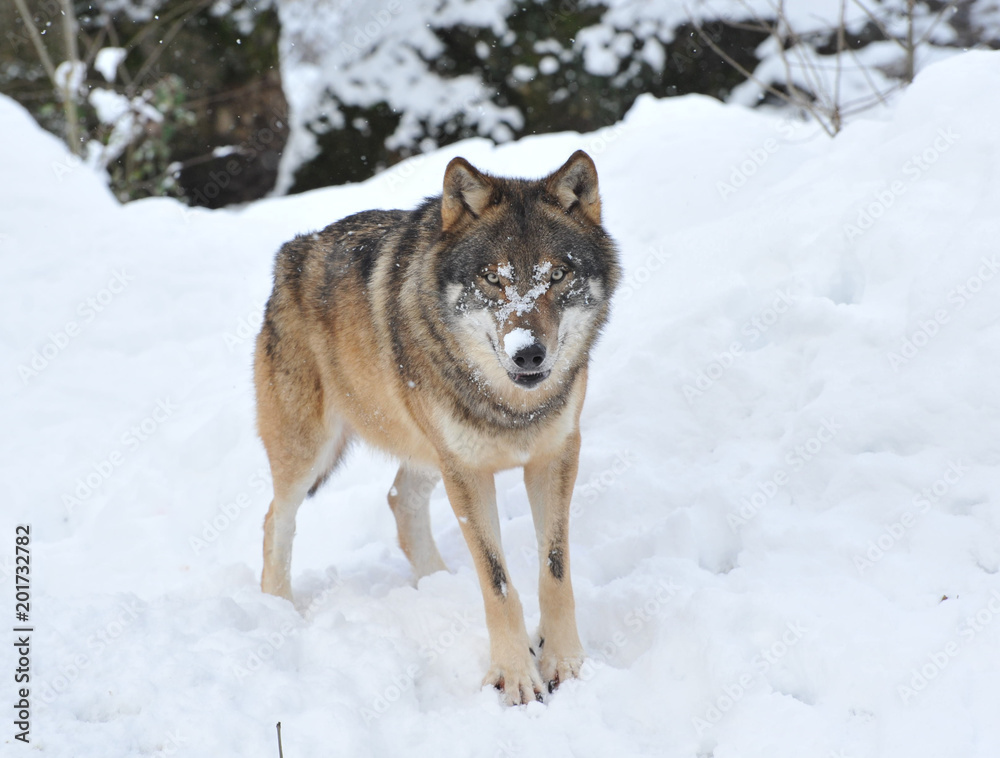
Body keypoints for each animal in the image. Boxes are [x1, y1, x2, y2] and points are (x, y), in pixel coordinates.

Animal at [254, 149, 620, 704]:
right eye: (493, 278)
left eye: (557, 275)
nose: (528, 353)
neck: (511, 406)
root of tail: (290, 253)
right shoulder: (467, 471)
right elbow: (498, 583)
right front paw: (515, 678)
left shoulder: (556, 456)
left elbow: (554, 573)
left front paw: (566, 664)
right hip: (311, 453)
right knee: (277, 519)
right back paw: (278, 610)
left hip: (426, 451)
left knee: (398, 500)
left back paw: (437, 585)